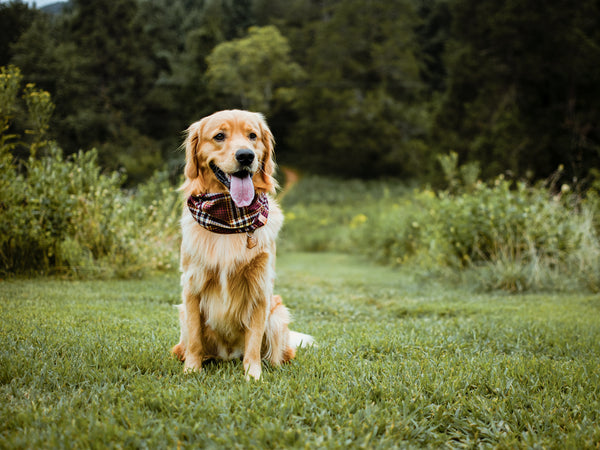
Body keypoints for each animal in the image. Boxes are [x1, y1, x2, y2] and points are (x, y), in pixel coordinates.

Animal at [171, 110, 314, 380]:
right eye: (219, 136)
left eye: (252, 136)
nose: (246, 155)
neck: (228, 217)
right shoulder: (191, 285)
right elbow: (195, 338)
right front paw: (191, 371)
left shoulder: (260, 287)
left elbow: (254, 340)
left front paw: (253, 375)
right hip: (182, 313)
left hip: (277, 315)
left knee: (278, 355)